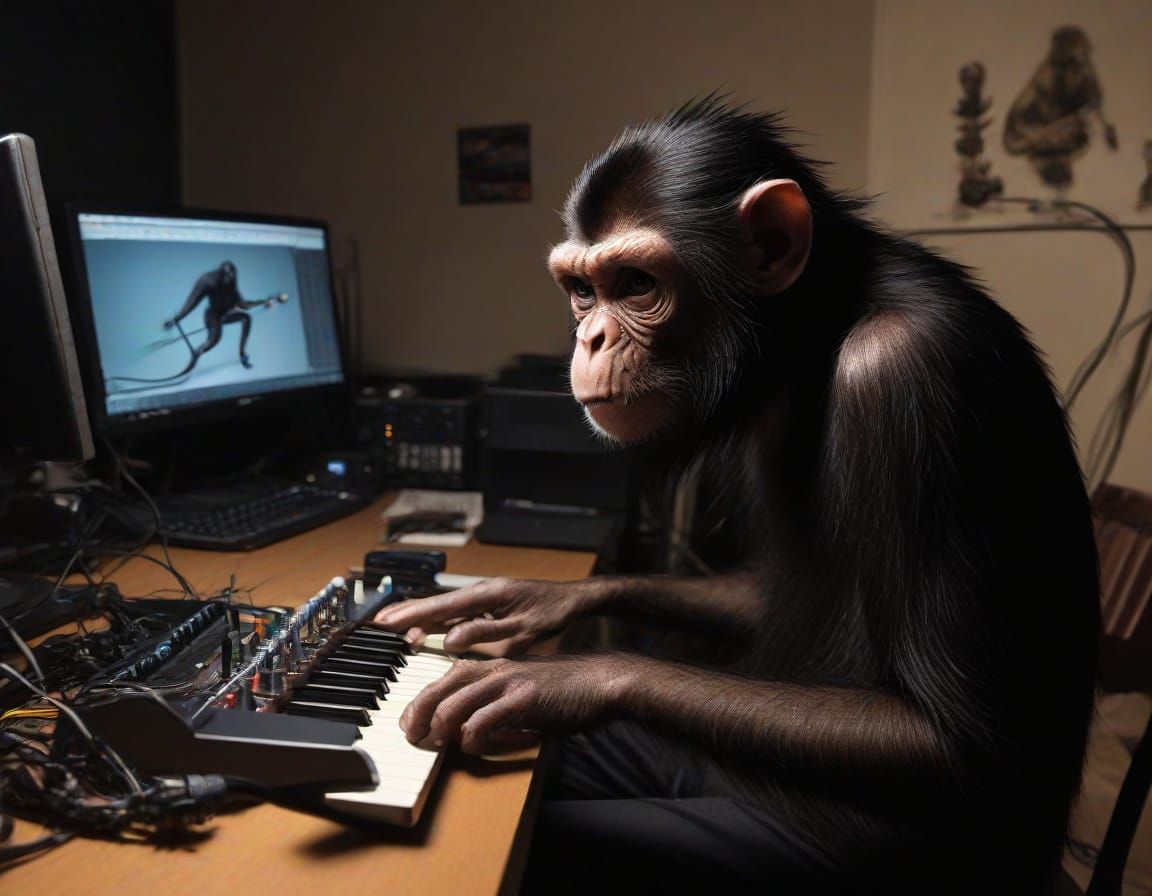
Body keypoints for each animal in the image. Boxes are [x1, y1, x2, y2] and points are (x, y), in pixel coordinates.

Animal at [373, 99, 1100, 894]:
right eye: (582, 289)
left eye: (635, 283)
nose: (590, 337)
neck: (819, 332)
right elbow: (753, 591)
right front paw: (525, 600)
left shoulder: (910, 375)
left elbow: (954, 739)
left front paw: (564, 676)